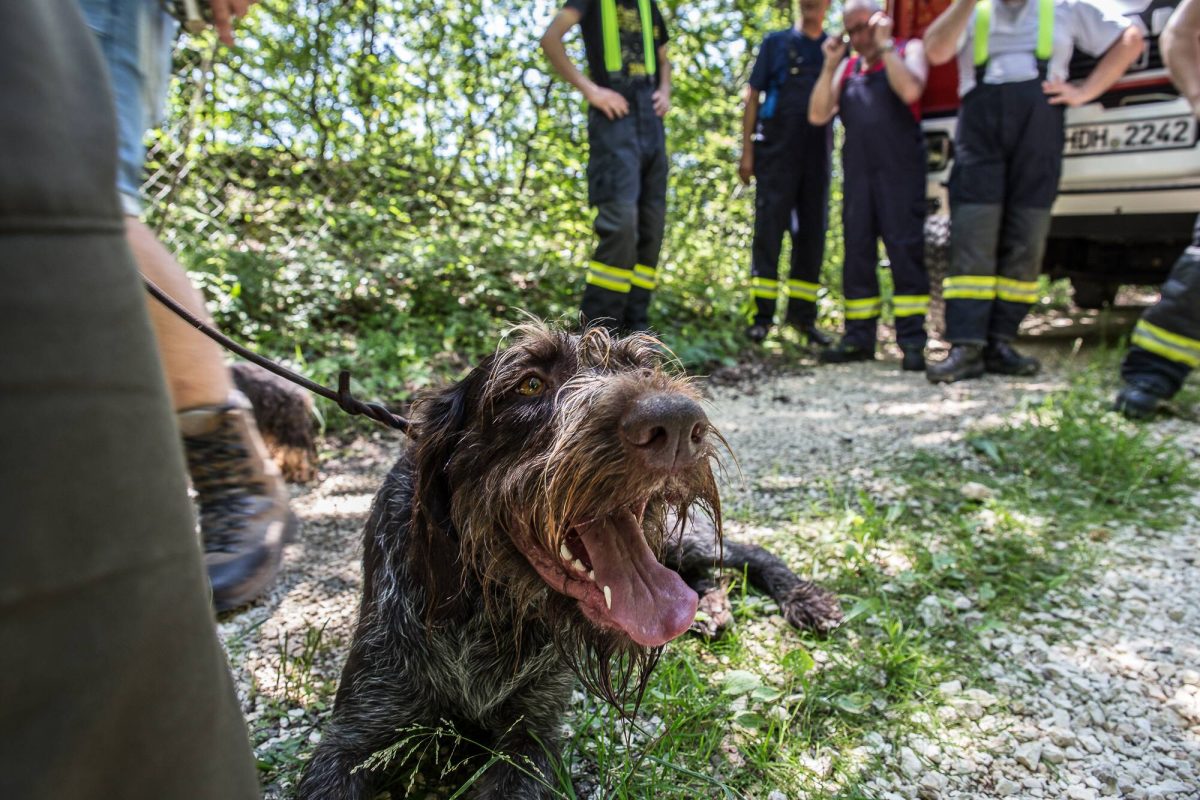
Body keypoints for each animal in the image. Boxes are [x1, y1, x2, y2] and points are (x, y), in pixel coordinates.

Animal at [295, 326, 840, 800]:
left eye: (645, 367)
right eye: (530, 384)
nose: (679, 422)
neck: (489, 609)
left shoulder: (532, 740)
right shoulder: (355, 734)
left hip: (678, 540)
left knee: (747, 556)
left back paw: (803, 599)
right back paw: (709, 609)